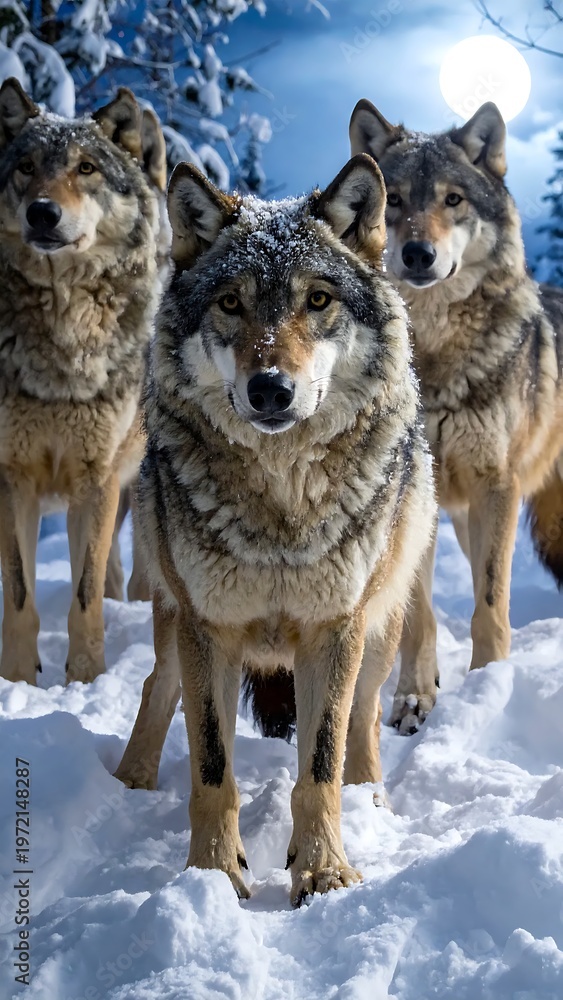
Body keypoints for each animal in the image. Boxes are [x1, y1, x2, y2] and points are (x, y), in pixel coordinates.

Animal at [0, 78, 158, 685]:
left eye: (85, 168)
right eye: (25, 167)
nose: (42, 213)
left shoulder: (95, 476)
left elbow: (84, 592)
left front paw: (87, 675)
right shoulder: (13, 475)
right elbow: (20, 594)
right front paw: (18, 679)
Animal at [114, 153, 435, 905]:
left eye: (316, 301)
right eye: (231, 304)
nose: (269, 389)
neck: (281, 505)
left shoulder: (334, 628)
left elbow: (319, 763)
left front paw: (322, 871)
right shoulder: (209, 628)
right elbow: (211, 766)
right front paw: (210, 874)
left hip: (379, 627)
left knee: (364, 720)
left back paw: (371, 797)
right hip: (172, 617)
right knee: (156, 688)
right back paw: (130, 784)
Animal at [350, 99, 563, 734]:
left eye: (453, 200)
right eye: (395, 199)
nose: (418, 254)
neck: (439, 357)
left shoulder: (498, 484)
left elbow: (490, 604)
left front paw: (490, 689)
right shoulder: (420, 495)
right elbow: (420, 617)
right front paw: (415, 698)